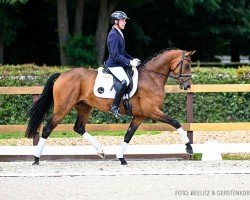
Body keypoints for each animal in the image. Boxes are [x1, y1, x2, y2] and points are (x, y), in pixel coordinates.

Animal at [26, 48, 196, 166]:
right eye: (187, 65)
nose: (187, 86)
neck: (152, 77)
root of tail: (62, 75)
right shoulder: (152, 111)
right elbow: (175, 122)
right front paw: (189, 148)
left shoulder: (139, 116)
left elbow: (128, 135)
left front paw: (121, 158)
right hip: (63, 108)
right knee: (48, 128)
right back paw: (36, 159)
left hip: (84, 107)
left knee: (79, 127)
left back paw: (101, 151)